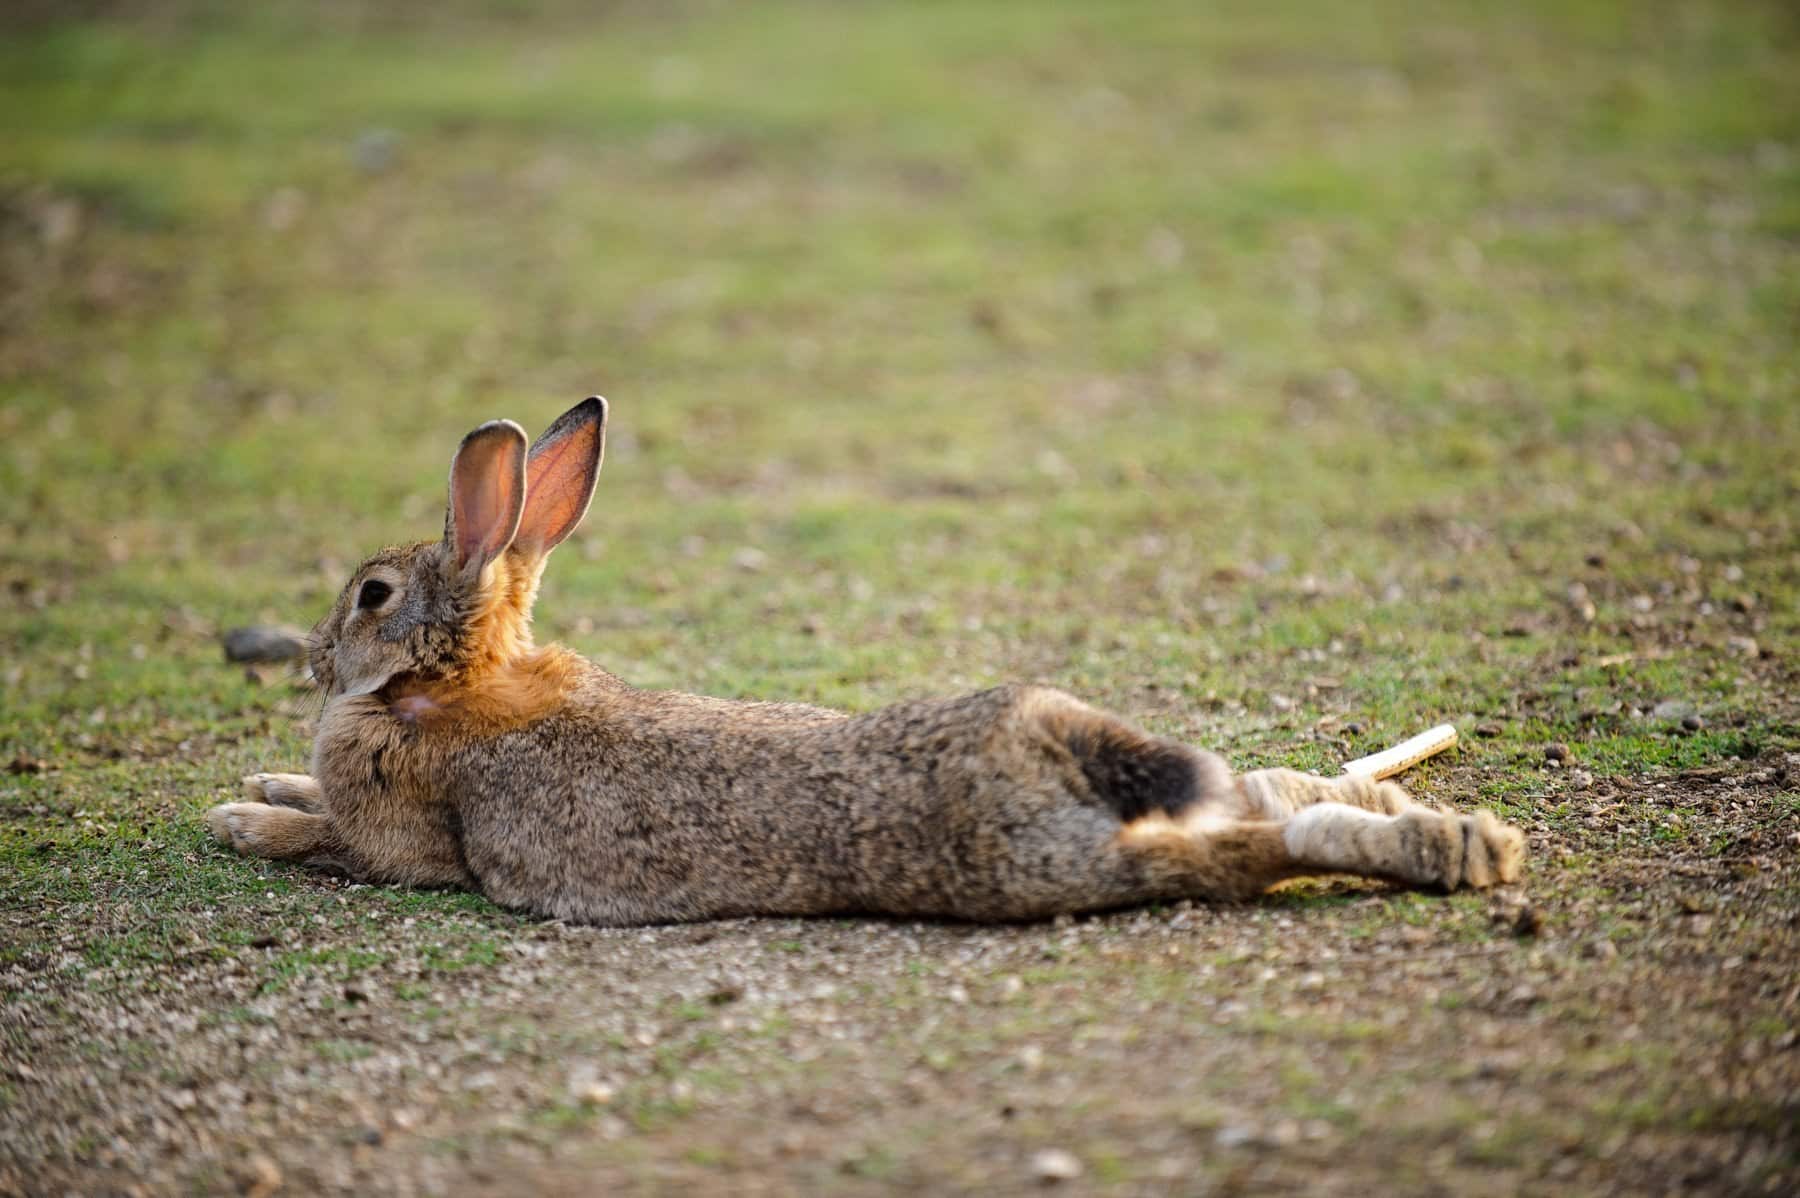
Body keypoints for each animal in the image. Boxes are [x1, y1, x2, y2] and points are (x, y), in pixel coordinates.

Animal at [207, 397, 1525, 925]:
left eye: (372, 597)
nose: (317, 652)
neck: (449, 682)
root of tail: (1049, 744)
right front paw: (265, 781)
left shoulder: (407, 846)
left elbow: (327, 835)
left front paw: (241, 817)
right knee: (1264, 792)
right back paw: (1462, 836)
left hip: (1047, 866)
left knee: (1254, 847)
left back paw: (1435, 852)